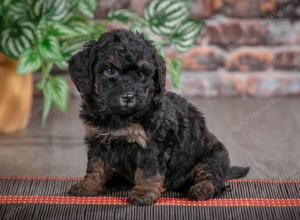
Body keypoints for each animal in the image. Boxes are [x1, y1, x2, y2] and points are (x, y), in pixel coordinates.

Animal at [68, 28, 248, 205]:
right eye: (109, 71)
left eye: (141, 74)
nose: (128, 97)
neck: (120, 117)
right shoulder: (97, 139)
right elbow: (95, 166)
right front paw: (88, 186)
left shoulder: (152, 144)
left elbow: (148, 171)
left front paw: (143, 193)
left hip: (211, 155)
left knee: (215, 180)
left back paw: (201, 189)